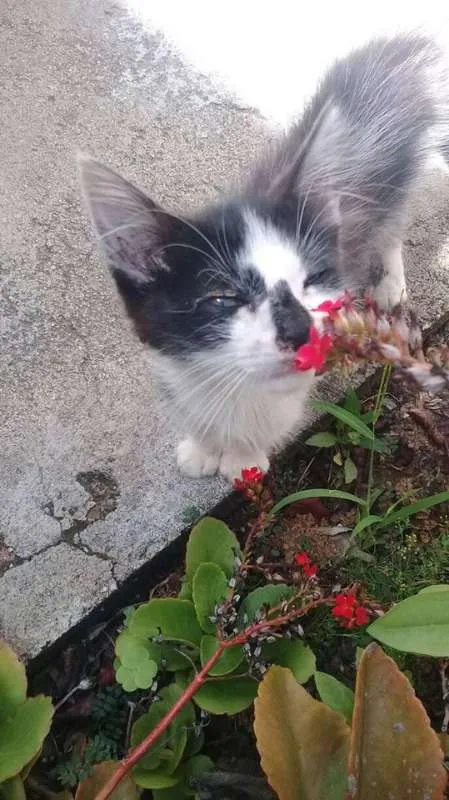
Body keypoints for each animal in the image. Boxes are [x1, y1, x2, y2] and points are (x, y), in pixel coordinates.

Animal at [79, 34, 446, 482]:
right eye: (223, 298)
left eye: (313, 278)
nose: (300, 330)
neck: (228, 380)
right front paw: (203, 445)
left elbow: (273, 414)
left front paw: (243, 456)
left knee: (393, 224)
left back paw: (390, 282)